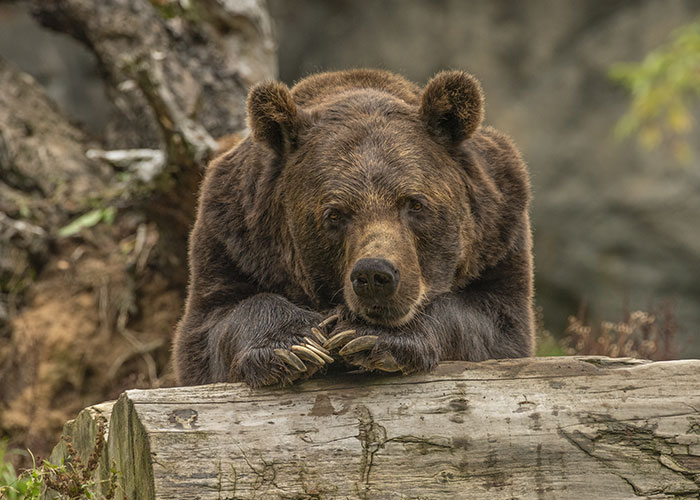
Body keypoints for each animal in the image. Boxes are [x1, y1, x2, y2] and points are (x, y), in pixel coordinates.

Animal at [172, 68, 532, 388]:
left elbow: (493, 323)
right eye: (335, 214)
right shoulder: (233, 239)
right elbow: (213, 325)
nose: (374, 275)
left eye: (415, 203)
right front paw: (296, 345)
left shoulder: (499, 233)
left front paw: (369, 336)